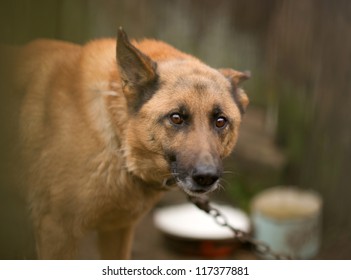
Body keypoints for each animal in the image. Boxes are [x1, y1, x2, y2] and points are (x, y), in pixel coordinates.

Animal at [10, 29, 250, 260]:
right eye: (176, 118)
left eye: (220, 121)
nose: (206, 177)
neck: (118, 141)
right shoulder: (56, 232)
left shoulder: (117, 230)